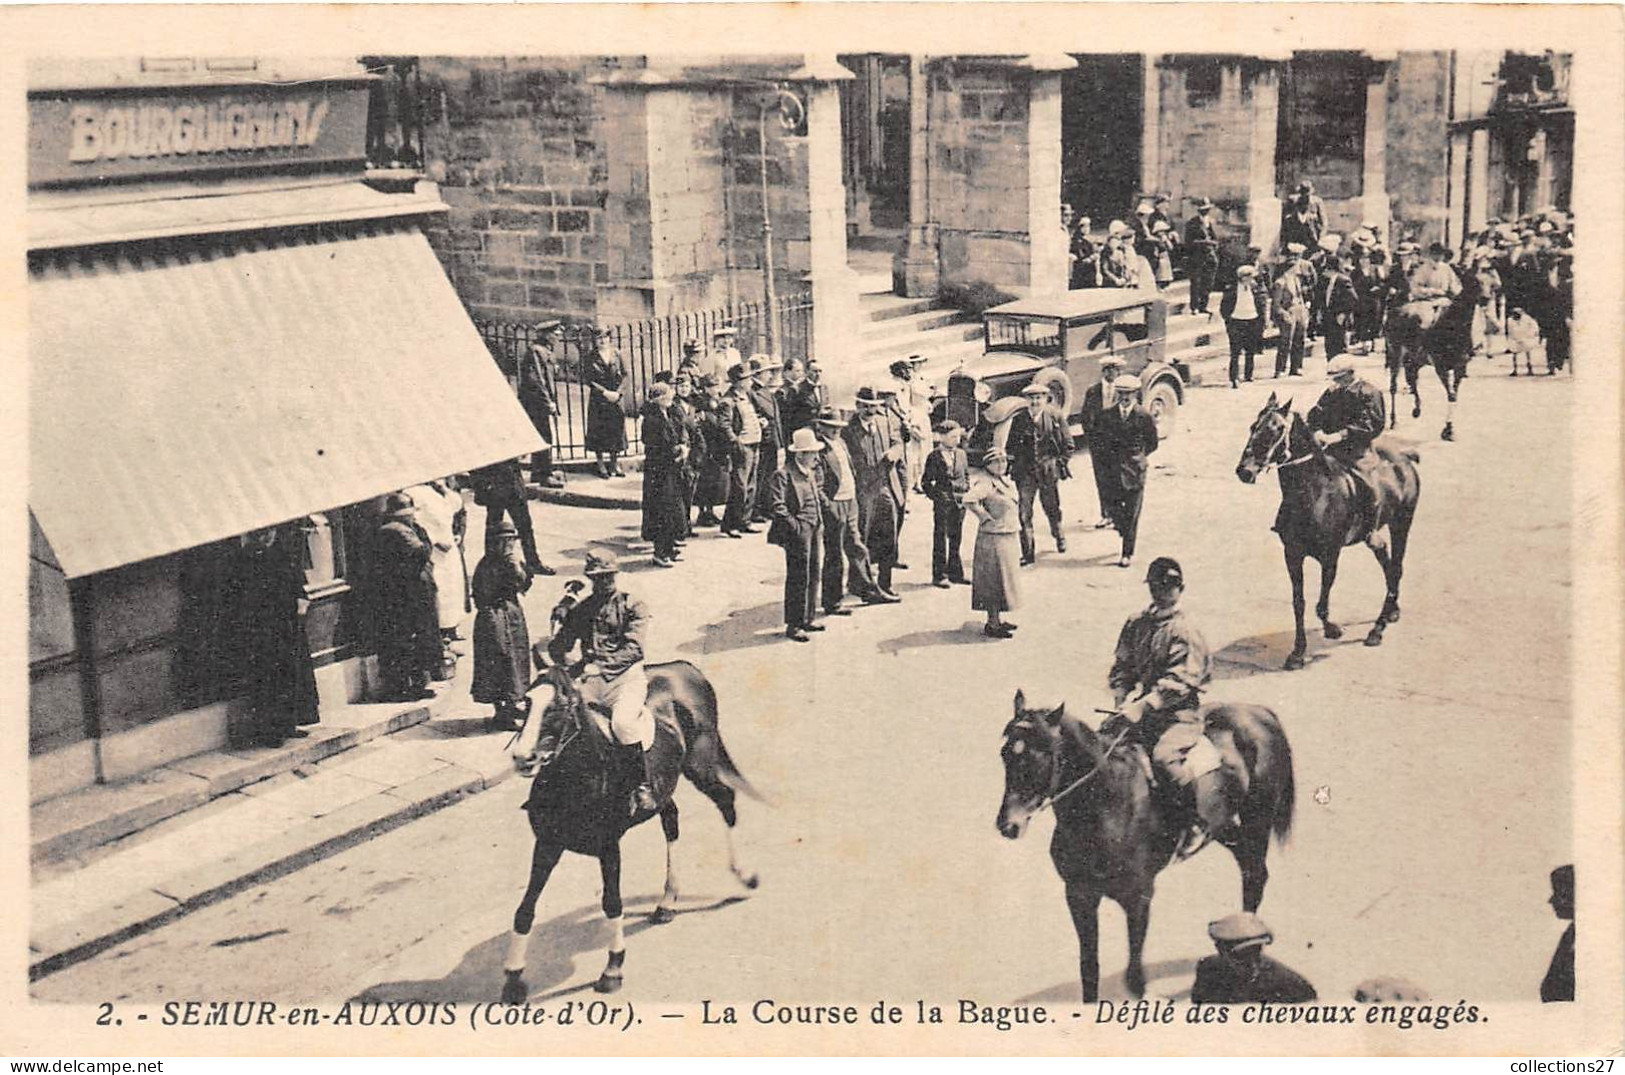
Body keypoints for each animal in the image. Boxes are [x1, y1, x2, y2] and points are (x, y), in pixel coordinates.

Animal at [500, 662, 760, 1006]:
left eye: (558, 706)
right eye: (525, 704)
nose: (522, 758)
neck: (578, 776)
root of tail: (685, 667)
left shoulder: (609, 846)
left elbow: (612, 903)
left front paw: (613, 968)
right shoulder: (547, 844)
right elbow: (524, 911)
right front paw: (513, 979)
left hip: (700, 763)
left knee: (726, 801)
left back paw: (745, 876)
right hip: (667, 785)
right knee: (671, 820)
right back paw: (667, 902)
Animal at [988, 695, 1293, 1006]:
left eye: (1040, 755)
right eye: (1005, 753)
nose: (1008, 825)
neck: (1107, 804)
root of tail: (1258, 712)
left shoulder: (1139, 897)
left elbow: (1134, 976)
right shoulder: (1079, 894)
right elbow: (1089, 969)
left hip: (1258, 820)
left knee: (1254, 875)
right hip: (1225, 827)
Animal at [1235, 391, 1417, 669]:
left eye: (1276, 429)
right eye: (1253, 427)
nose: (1244, 471)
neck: (1313, 493)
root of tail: (1406, 459)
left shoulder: (1330, 554)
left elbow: (1321, 603)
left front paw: (1332, 629)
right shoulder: (1292, 554)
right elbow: (1299, 602)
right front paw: (1297, 652)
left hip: (1401, 524)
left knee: (1396, 567)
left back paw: (1377, 629)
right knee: (1387, 562)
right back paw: (1392, 611)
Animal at [1384, 266, 1488, 441]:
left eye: (1490, 280)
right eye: (1474, 281)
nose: (1486, 299)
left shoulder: (1460, 367)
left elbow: (1454, 395)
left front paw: (1449, 429)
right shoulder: (1440, 366)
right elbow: (1451, 395)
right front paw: (1448, 429)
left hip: (1417, 357)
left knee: (1412, 376)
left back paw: (1417, 408)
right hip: (1395, 351)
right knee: (1394, 385)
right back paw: (1393, 420)